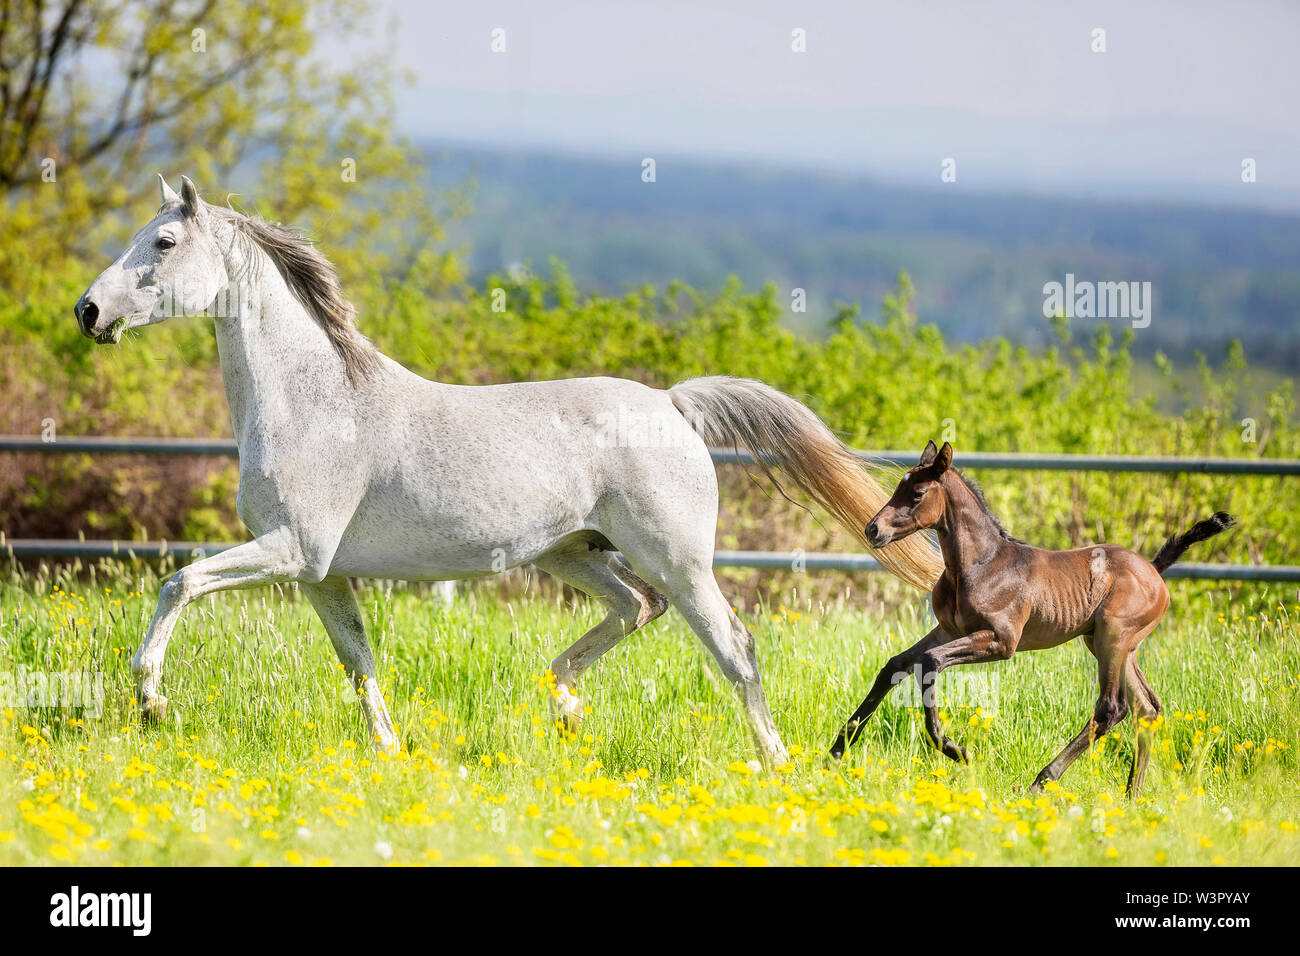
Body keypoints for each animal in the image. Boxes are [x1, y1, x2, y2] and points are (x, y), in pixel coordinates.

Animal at [76, 175, 941, 764]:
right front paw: (390, 754)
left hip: (678, 559)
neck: (317, 403)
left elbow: (178, 582)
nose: (88, 312)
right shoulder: (323, 574)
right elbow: (358, 662)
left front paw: (150, 699)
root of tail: (672, 404)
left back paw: (774, 761)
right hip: (573, 553)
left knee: (733, 644)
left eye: (162, 245)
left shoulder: (292, 551)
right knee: (637, 608)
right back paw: (565, 706)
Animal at [832, 442, 1227, 801]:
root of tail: (1155, 570)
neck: (981, 564)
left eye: (916, 493)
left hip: (1113, 638)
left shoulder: (1001, 640)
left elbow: (931, 662)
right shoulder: (947, 629)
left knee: (1112, 708)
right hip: (1110, 644)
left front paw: (957, 752)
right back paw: (1133, 796)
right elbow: (894, 665)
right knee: (1147, 708)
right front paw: (837, 750)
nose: (873, 530)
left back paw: (1042, 781)